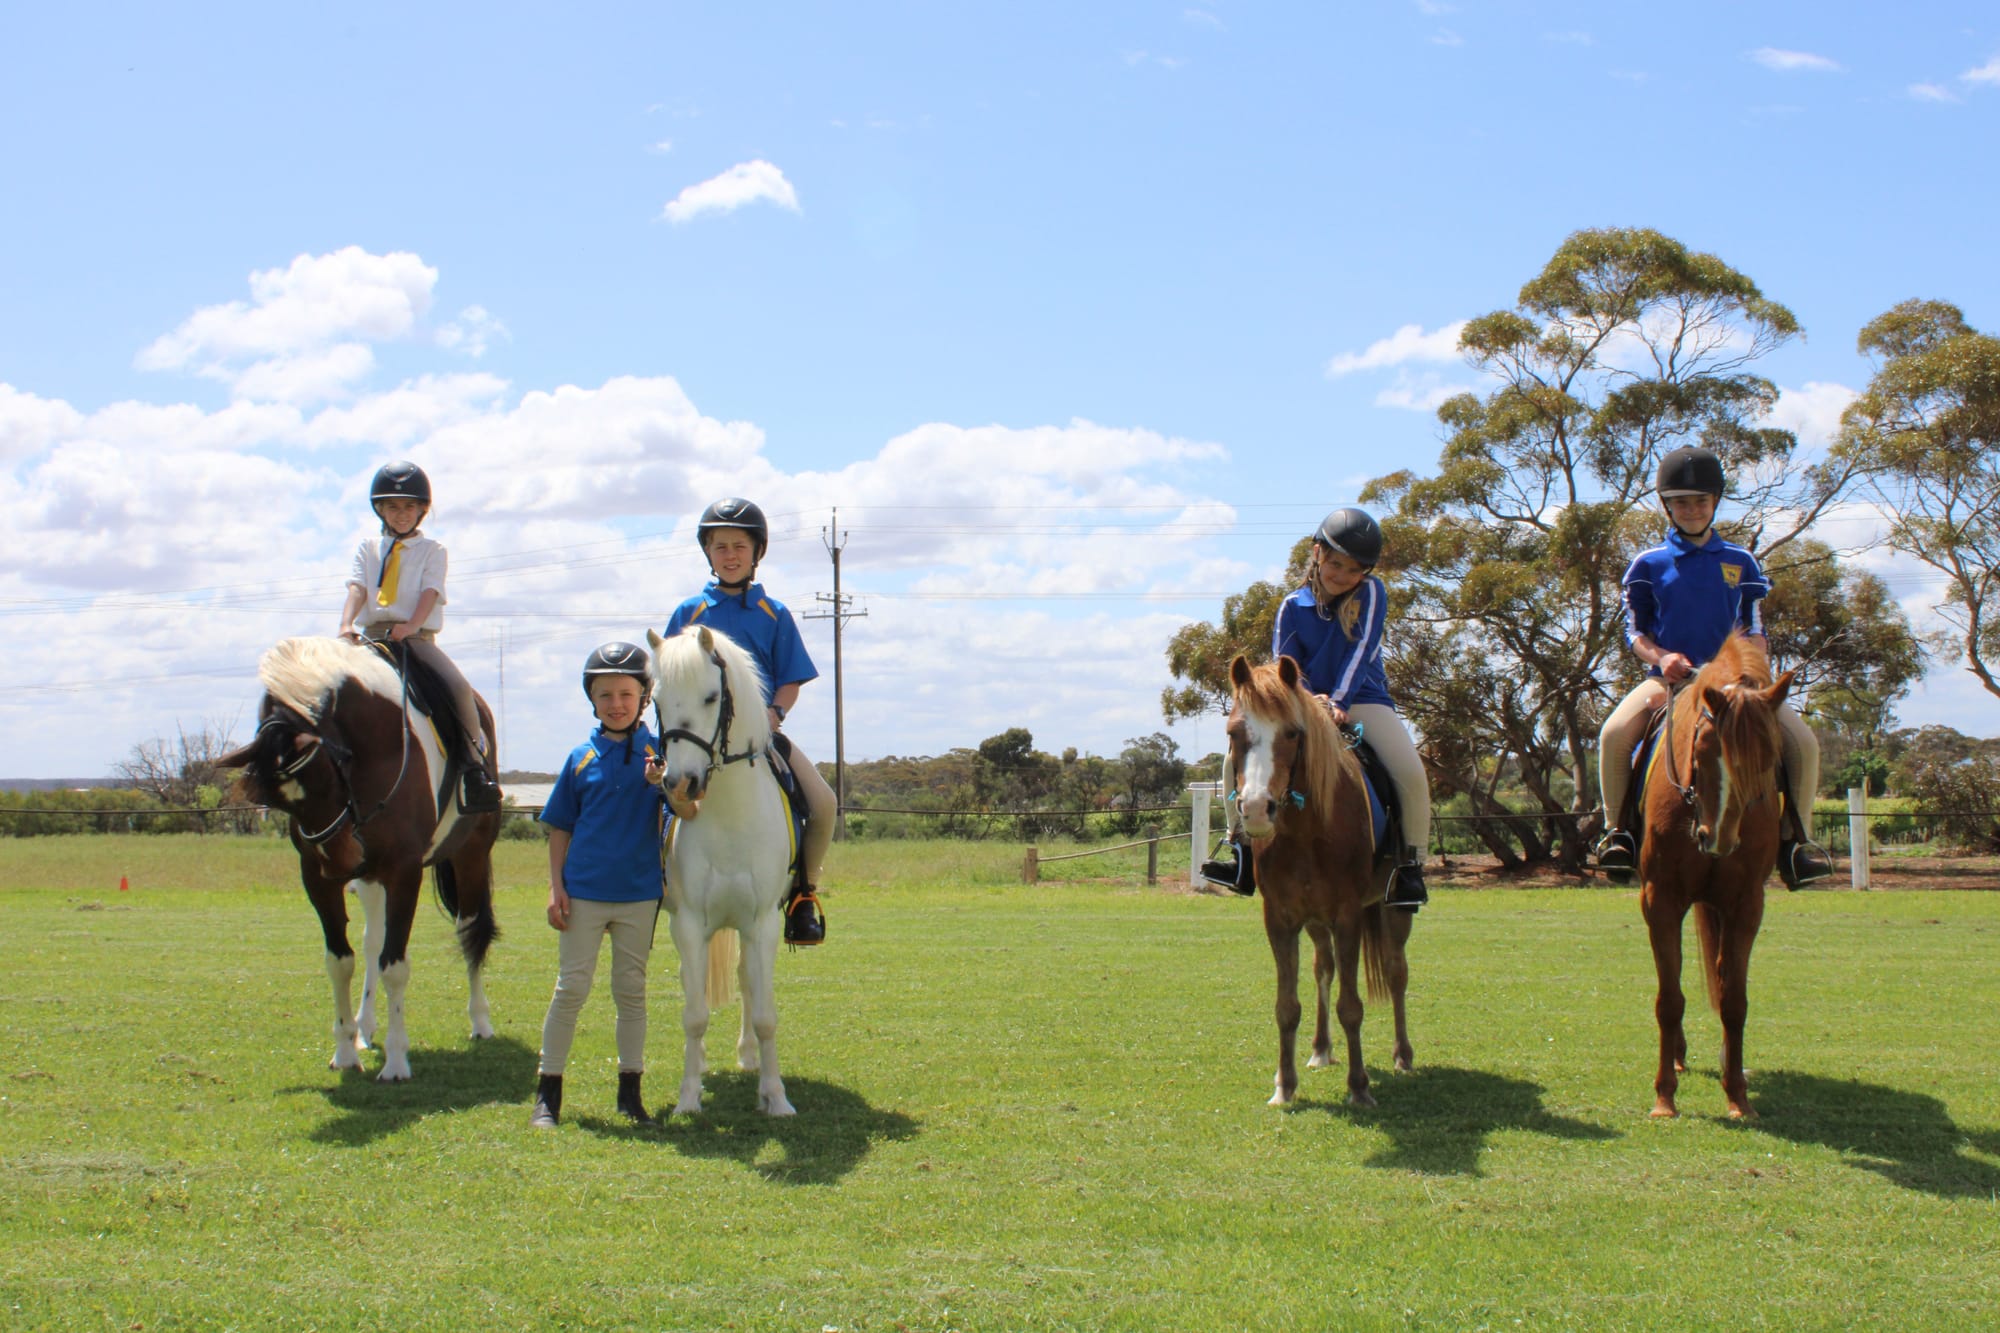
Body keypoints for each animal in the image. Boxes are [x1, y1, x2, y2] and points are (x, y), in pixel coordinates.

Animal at [217, 636, 500, 1081]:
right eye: (280, 802)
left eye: (327, 778)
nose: (341, 860)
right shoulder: (317, 879)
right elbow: (342, 960)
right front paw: (346, 1050)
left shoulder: (403, 873)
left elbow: (395, 965)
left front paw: (397, 1061)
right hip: (369, 879)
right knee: (373, 943)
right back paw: (366, 1029)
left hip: (469, 857)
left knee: (469, 929)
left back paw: (480, 1021)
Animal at [646, 623, 796, 1117]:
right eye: (656, 699)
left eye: (712, 697)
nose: (680, 784)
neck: (731, 815)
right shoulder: (690, 924)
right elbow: (694, 1015)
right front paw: (688, 1097)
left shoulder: (763, 923)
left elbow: (766, 1015)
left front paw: (776, 1097)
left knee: (748, 983)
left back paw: (749, 1059)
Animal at [1227, 653, 1414, 1108]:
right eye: (1234, 733)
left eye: (1292, 733)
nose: (1256, 809)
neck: (1304, 831)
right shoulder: (1280, 919)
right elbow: (1286, 1006)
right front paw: (1284, 1084)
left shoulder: (1347, 916)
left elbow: (1352, 1006)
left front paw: (1359, 1088)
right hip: (1314, 922)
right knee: (1323, 969)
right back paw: (1320, 1049)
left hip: (1394, 909)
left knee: (1397, 972)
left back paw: (1402, 1056)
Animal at [1638, 631, 1795, 1119]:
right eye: (1704, 747)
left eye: (1768, 756)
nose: (1719, 839)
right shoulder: (1661, 898)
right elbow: (1669, 999)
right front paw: (1664, 1097)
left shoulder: (1745, 903)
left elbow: (1733, 1000)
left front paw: (1738, 1096)